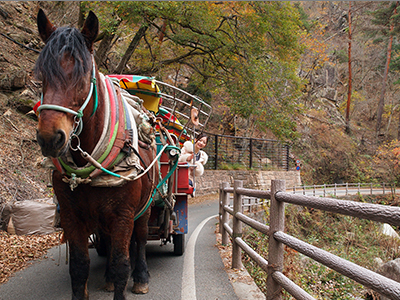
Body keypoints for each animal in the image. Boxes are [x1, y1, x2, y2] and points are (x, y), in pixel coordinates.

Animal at [34, 9, 158, 300]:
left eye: (82, 76)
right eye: (42, 75)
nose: (50, 137)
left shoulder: (124, 215)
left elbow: (123, 262)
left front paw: (127, 278)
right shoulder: (71, 215)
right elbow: (79, 267)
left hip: (145, 208)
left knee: (140, 240)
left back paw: (141, 276)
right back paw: (109, 279)